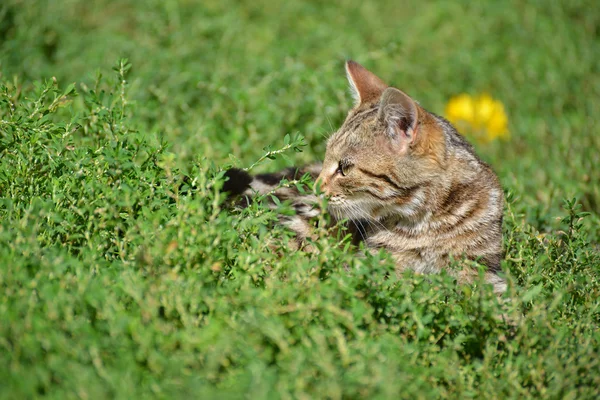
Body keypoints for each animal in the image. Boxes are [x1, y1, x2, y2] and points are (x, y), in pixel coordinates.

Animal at [224, 61, 506, 296]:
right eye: (326, 157)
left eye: (345, 168)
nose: (316, 187)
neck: (427, 223)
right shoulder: (372, 264)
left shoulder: (486, 268)